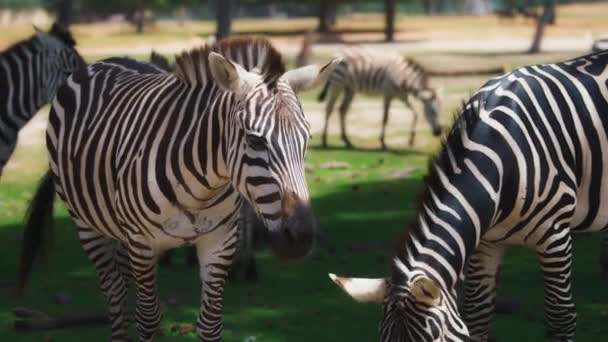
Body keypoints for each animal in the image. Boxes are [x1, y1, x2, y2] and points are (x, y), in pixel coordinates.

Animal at [15, 36, 338, 340]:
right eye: (255, 140)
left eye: (307, 139)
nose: (301, 238)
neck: (202, 187)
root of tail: (107, 60)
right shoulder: (142, 243)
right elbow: (148, 319)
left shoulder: (219, 241)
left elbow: (210, 324)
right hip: (87, 225)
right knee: (115, 295)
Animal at [330, 50, 608, 342]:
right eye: (382, 339)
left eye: (435, 338)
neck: (499, 161)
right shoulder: (485, 242)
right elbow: (477, 315)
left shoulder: (555, 236)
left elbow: (560, 317)